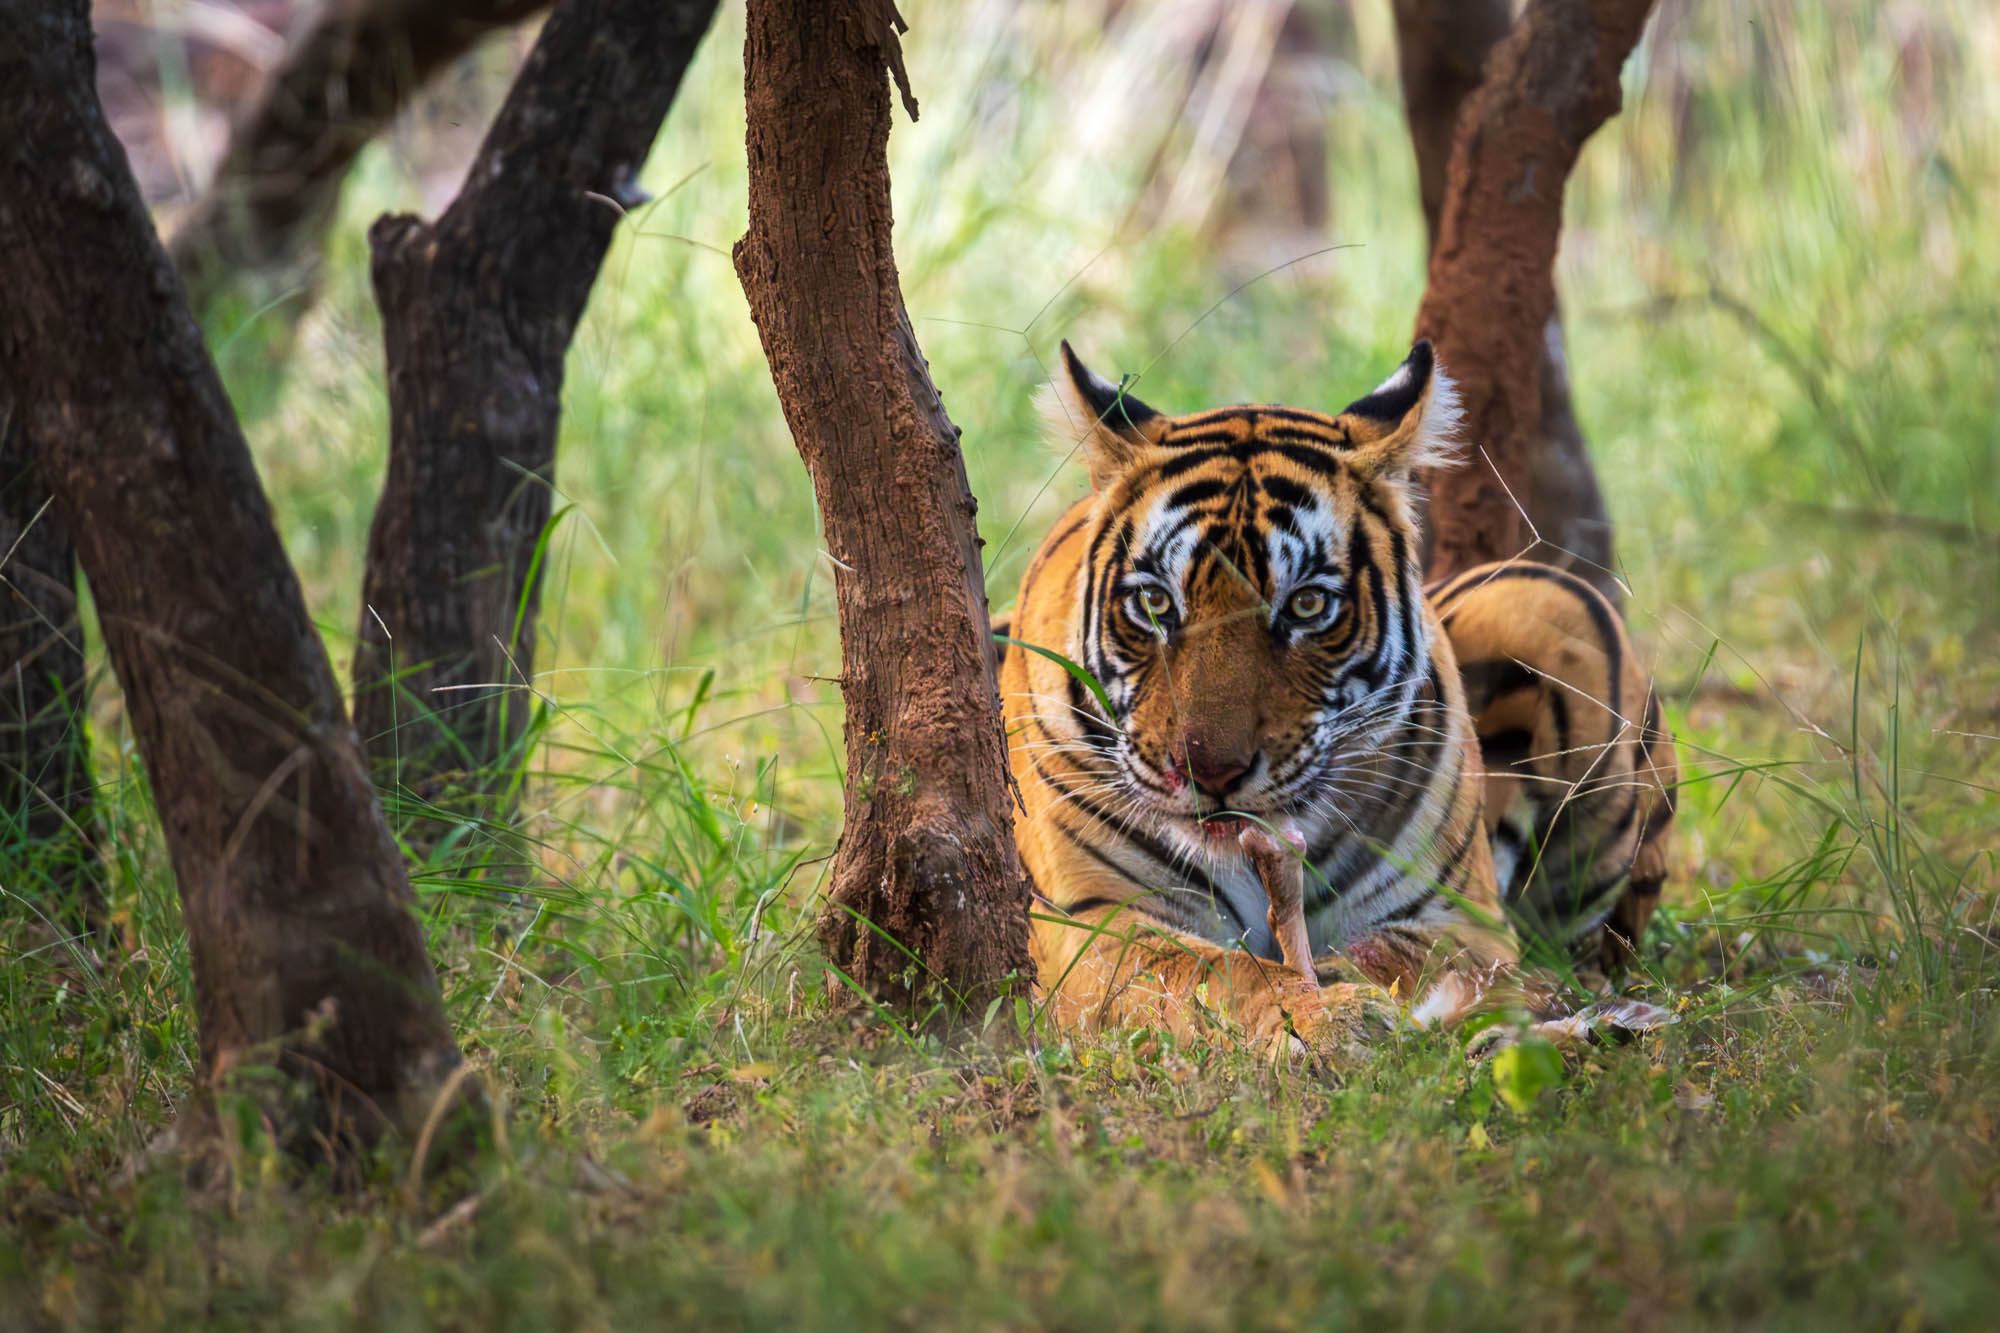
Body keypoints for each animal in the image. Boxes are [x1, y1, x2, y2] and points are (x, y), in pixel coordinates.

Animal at [997, 339, 1677, 1057]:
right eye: (1156, 602)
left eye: (1307, 604)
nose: (1211, 772)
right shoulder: (1093, 921)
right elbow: (1215, 970)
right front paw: (1322, 1015)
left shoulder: (1461, 920)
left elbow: (1384, 955)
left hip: (1545, 599)